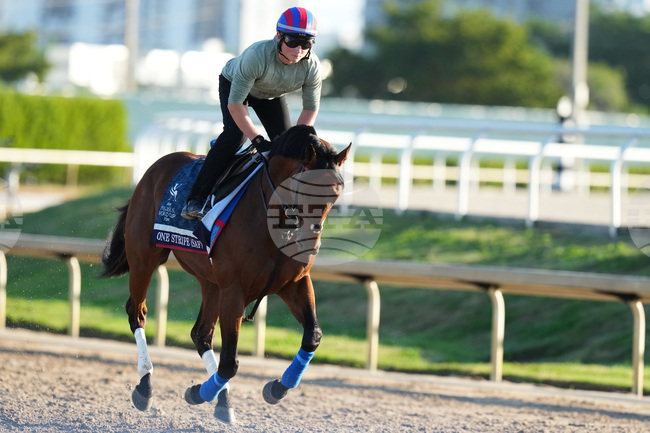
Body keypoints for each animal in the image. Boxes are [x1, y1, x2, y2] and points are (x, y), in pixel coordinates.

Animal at [101, 125, 350, 424]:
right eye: (306, 188)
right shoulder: (234, 290)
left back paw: (219, 398)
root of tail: (154, 169)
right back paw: (145, 386)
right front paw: (200, 392)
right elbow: (230, 361)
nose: (310, 243)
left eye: (335, 194)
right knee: (137, 312)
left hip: (210, 281)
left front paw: (276, 388)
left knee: (201, 333)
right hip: (144, 259)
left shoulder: (294, 283)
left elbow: (312, 336)